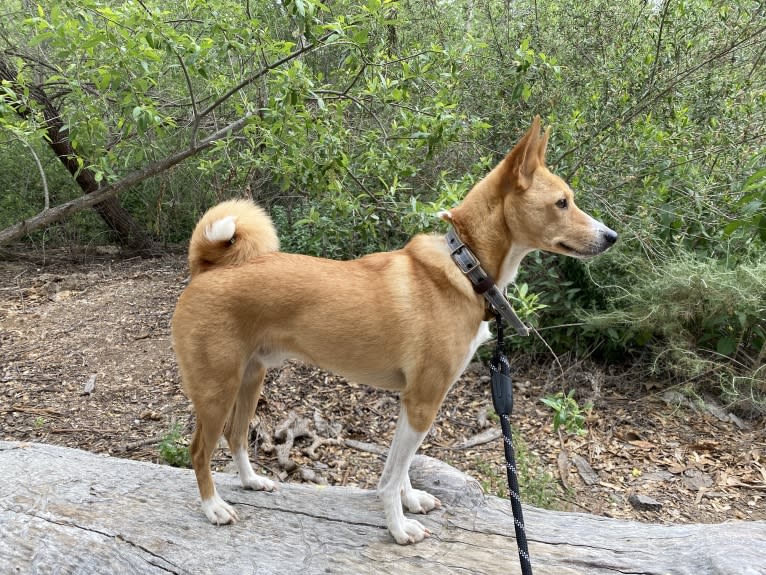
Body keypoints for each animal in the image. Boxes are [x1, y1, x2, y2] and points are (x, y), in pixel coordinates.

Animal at [172, 116, 616, 544]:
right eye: (562, 202)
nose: (611, 236)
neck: (464, 267)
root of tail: (206, 269)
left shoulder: (411, 401)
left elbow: (399, 469)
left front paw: (410, 501)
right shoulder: (424, 400)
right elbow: (390, 475)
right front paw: (399, 527)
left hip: (250, 378)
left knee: (235, 437)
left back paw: (250, 482)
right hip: (216, 390)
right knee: (199, 450)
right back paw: (213, 507)